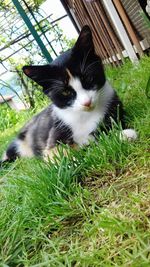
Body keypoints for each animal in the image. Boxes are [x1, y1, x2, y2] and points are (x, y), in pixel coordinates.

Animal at [0, 25, 137, 164]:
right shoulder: (55, 134)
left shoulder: (114, 109)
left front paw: (122, 135)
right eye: (65, 91)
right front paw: (74, 159)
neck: (84, 115)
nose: (87, 102)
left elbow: (103, 133)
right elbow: (58, 152)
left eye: (88, 79)